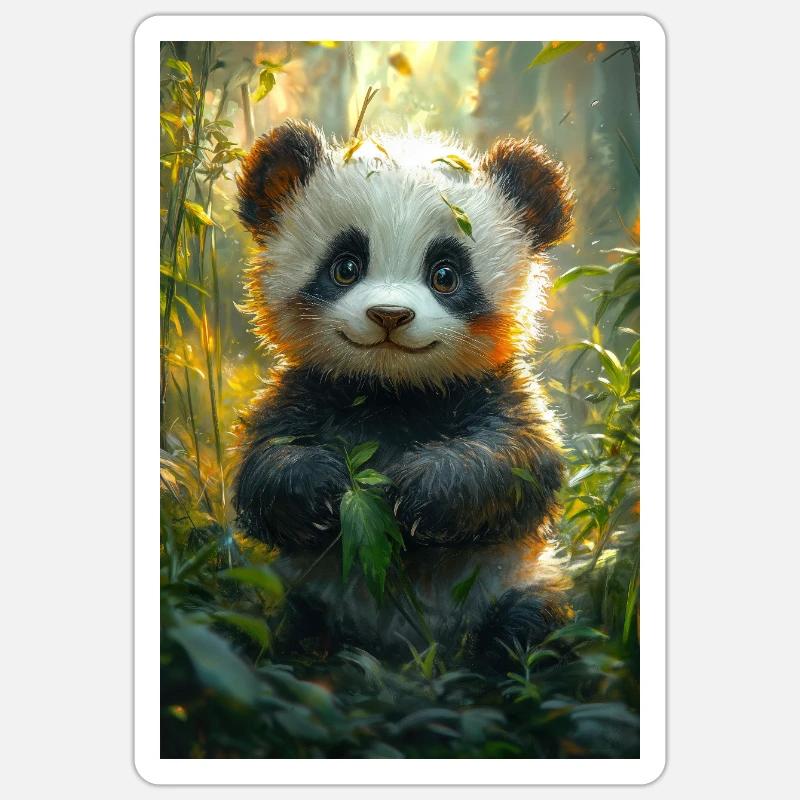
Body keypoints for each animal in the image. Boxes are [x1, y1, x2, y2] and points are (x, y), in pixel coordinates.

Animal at [234, 120, 575, 666]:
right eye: (345, 266)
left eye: (445, 274)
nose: (389, 315)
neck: (393, 389)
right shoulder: (306, 387)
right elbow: (262, 463)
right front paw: (323, 485)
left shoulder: (494, 387)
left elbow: (521, 459)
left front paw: (418, 490)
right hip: (298, 592)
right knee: (277, 627)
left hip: (513, 582)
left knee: (528, 632)